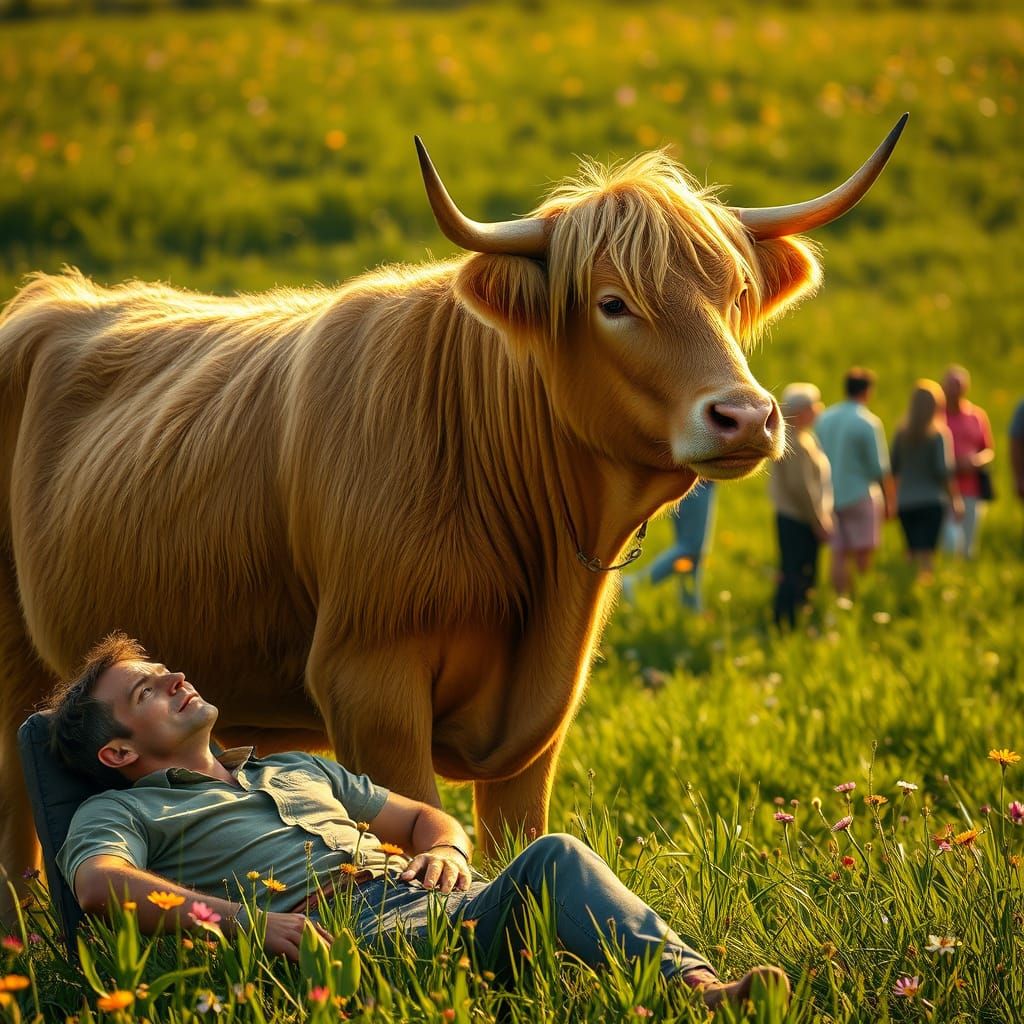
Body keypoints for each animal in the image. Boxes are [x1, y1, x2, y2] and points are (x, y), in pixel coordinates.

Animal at [0, 117, 906, 913]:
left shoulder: (540, 722)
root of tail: (48, 295)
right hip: (15, 669)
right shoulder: (370, 682)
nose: (745, 416)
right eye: (613, 303)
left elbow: (515, 843)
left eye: (736, 292)